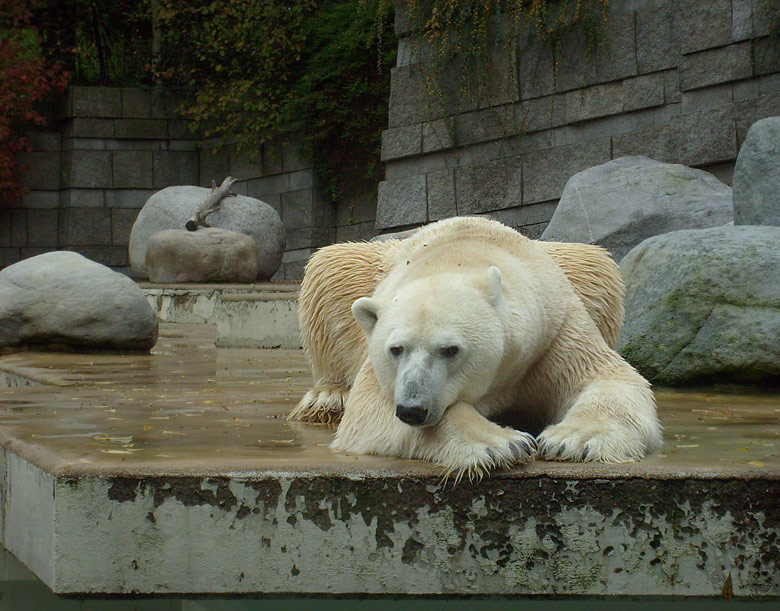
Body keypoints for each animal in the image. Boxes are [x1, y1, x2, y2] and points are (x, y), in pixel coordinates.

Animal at [290, 215, 660, 478]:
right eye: (396, 349)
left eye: (450, 349)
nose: (412, 409)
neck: (462, 256)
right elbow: (368, 410)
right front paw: (502, 444)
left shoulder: (552, 330)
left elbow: (606, 377)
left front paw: (572, 440)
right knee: (331, 266)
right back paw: (328, 398)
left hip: (576, 269)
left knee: (595, 264)